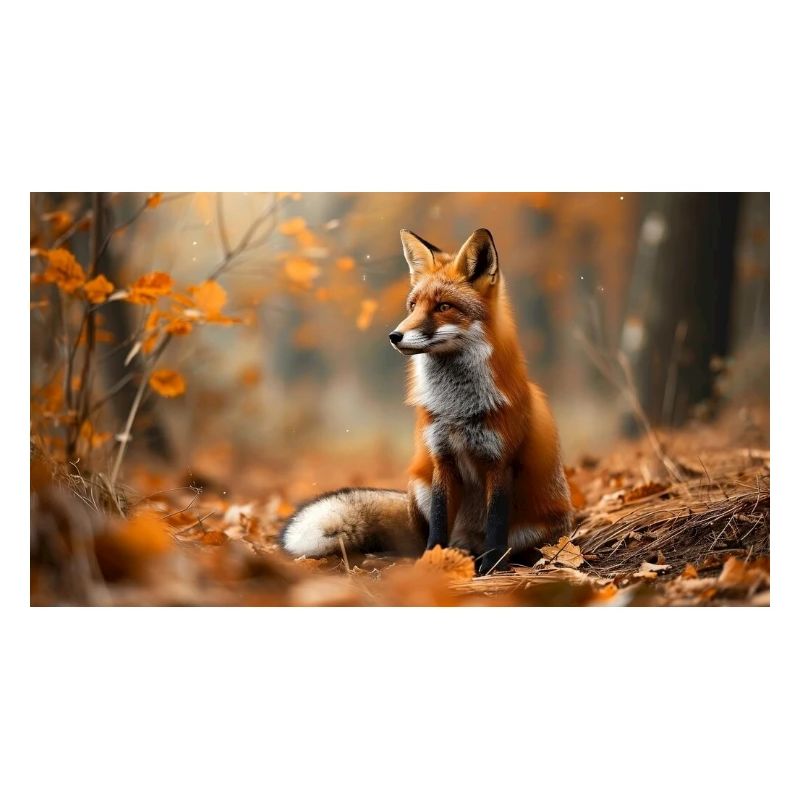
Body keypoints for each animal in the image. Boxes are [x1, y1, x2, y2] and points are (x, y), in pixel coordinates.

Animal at [280, 228, 573, 575]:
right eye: (412, 306)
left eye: (443, 306)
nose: (394, 336)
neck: (457, 409)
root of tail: (468, 540)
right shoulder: (441, 458)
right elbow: (438, 523)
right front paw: (432, 563)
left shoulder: (499, 462)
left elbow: (496, 527)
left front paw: (491, 569)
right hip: (418, 485)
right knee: (422, 539)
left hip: (534, 529)